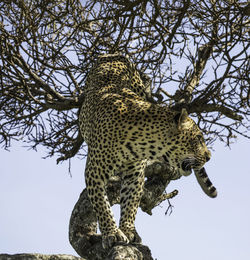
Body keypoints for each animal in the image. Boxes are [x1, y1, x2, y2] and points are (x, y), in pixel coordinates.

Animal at [78, 53, 217, 250]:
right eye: (198, 139)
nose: (209, 156)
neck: (143, 142)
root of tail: (113, 54)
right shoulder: (94, 172)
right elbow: (101, 204)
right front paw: (112, 232)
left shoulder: (135, 172)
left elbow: (130, 202)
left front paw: (128, 230)